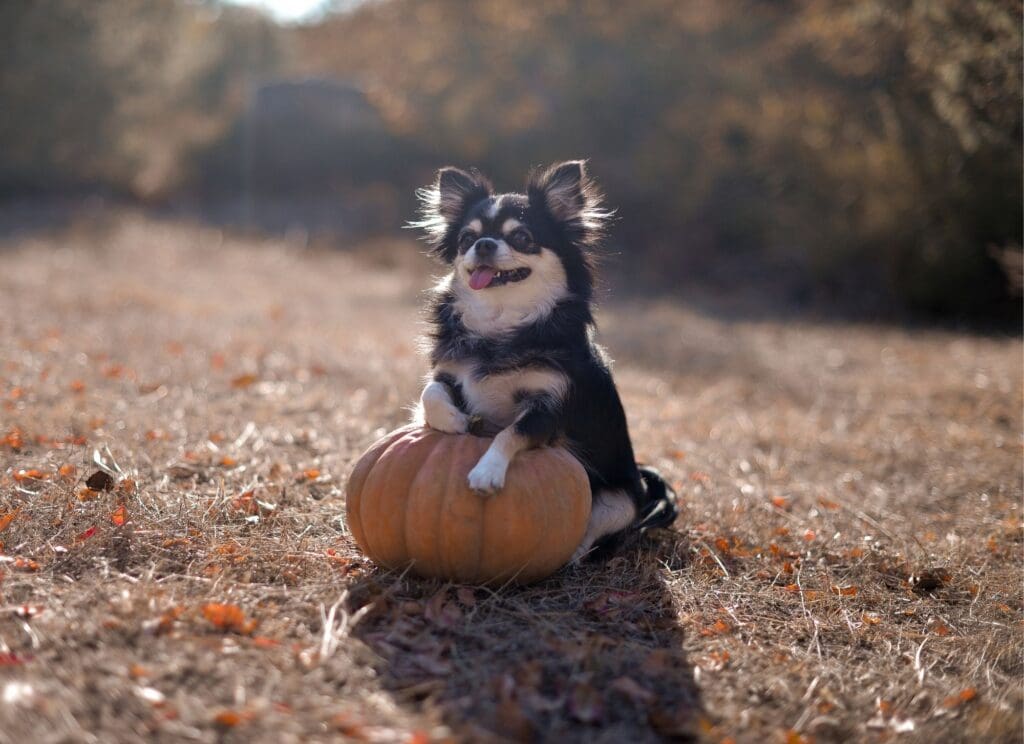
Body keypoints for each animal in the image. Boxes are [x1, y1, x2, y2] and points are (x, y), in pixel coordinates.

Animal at [407, 161, 679, 556]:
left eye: (522, 238)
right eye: (466, 239)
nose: (483, 244)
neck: (501, 321)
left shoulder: (548, 407)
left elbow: (510, 431)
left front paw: (487, 471)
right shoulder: (450, 374)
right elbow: (430, 393)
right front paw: (453, 422)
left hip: (620, 502)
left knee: (593, 533)